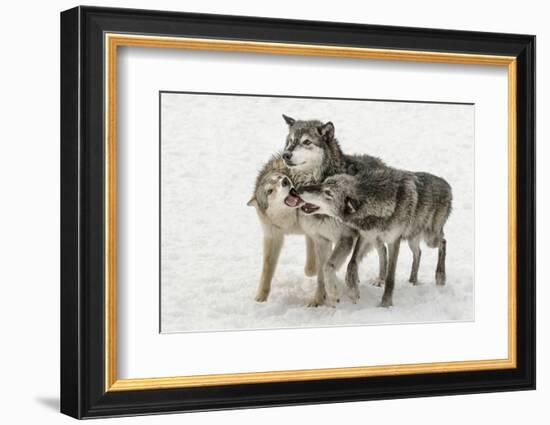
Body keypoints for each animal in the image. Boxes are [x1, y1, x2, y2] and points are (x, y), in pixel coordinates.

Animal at [298, 167, 452, 306]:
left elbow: (391, 277)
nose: (299, 189)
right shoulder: (365, 236)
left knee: (443, 242)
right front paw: (353, 291)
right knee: (415, 252)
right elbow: (351, 264)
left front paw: (386, 303)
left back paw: (440, 276)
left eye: (328, 193)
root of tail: (446, 184)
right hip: (403, 239)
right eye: (324, 182)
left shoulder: (394, 241)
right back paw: (410, 280)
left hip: (429, 238)